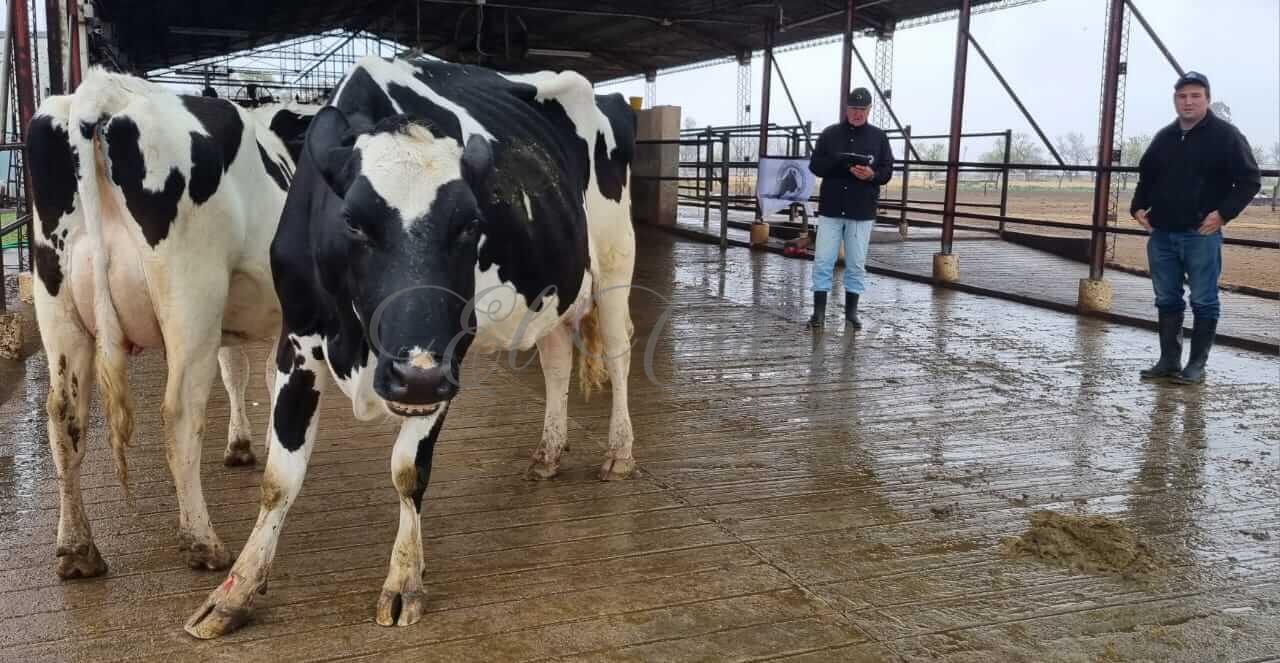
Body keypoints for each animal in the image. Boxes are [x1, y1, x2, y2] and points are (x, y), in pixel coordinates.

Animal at [26, 68, 316, 579]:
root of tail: (104, 90)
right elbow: (263, 376)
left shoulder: (235, 317)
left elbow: (239, 372)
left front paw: (242, 443)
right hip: (191, 293)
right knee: (180, 412)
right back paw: (202, 541)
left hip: (56, 300)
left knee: (64, 416)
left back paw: (78, 550)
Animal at [184, 54, 637, 638]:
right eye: (352, 221)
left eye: (471, 223)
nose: (415, 375)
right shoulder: (298, 336)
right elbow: (279, 477)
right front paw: (235, 590)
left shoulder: (447, 357)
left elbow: (407, 470)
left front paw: (404, 581)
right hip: (554, 286)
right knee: (557, 360)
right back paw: (548, 453)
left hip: (615, 260)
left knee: (621, 355)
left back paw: (619, 452)